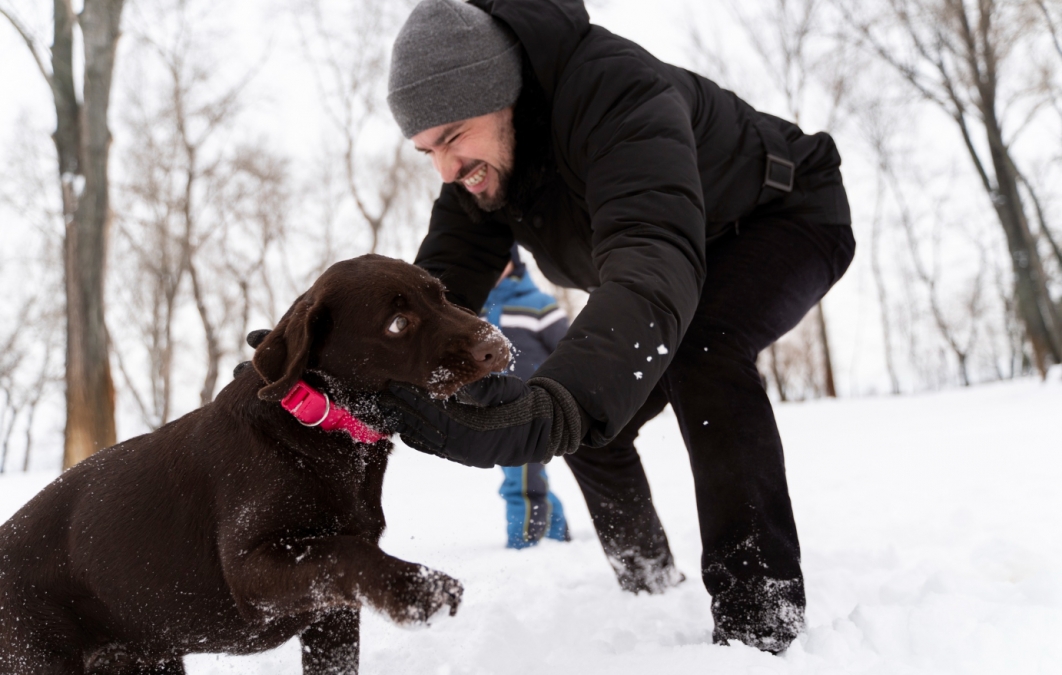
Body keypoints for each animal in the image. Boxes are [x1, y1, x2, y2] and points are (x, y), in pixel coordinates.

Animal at [0, 255, 509, 670]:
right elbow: (344, 549)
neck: (318, 422)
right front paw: (417, 589)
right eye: (398, 324)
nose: (498, 344)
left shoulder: (333, 615)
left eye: (442, 294)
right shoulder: (251, 568)